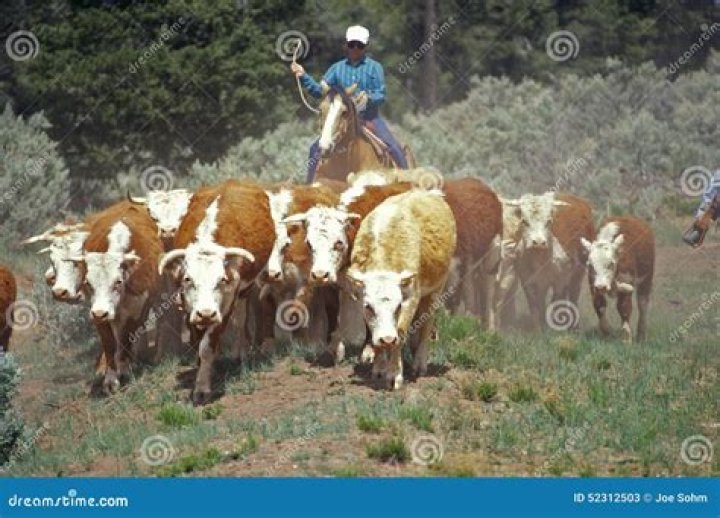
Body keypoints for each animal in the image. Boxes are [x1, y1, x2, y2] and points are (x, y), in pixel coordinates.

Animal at [69, 204, 164, 393]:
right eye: (88, 282)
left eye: (118, 282)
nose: (100, 313)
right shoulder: (99, 315)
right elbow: (109, 344)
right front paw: (110, 379)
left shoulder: (138, 310)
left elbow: (128, 336)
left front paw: (125, 369)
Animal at [159, 180, 275, 404]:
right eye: (188, 279)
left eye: (222, 280)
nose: (206, 313)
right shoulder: (189, 307)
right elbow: (197, 343)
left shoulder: (225, 306)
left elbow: (207, 346)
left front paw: (202, 389)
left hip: (244, 291)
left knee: (241, 319)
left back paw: (241, 354)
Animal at [346, 189, 456, 389]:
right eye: (369, 307)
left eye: (398, 306)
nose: (387, 339)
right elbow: (373, 331)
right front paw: (379, 369)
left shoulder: (411, 298)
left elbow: (401, 331)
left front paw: (394, 375)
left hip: (437, 289)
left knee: (427, 323)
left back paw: (419, 363)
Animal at [496, 192, 594, 330]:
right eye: (524, 221)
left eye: (548, 221)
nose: (538, 242)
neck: (541, 259)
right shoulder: (528, 281)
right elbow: (535, 306)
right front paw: (538, 329)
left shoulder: (560, 281)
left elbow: (555, 305)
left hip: (578, 272)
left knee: (574, 294)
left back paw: (574, 326)